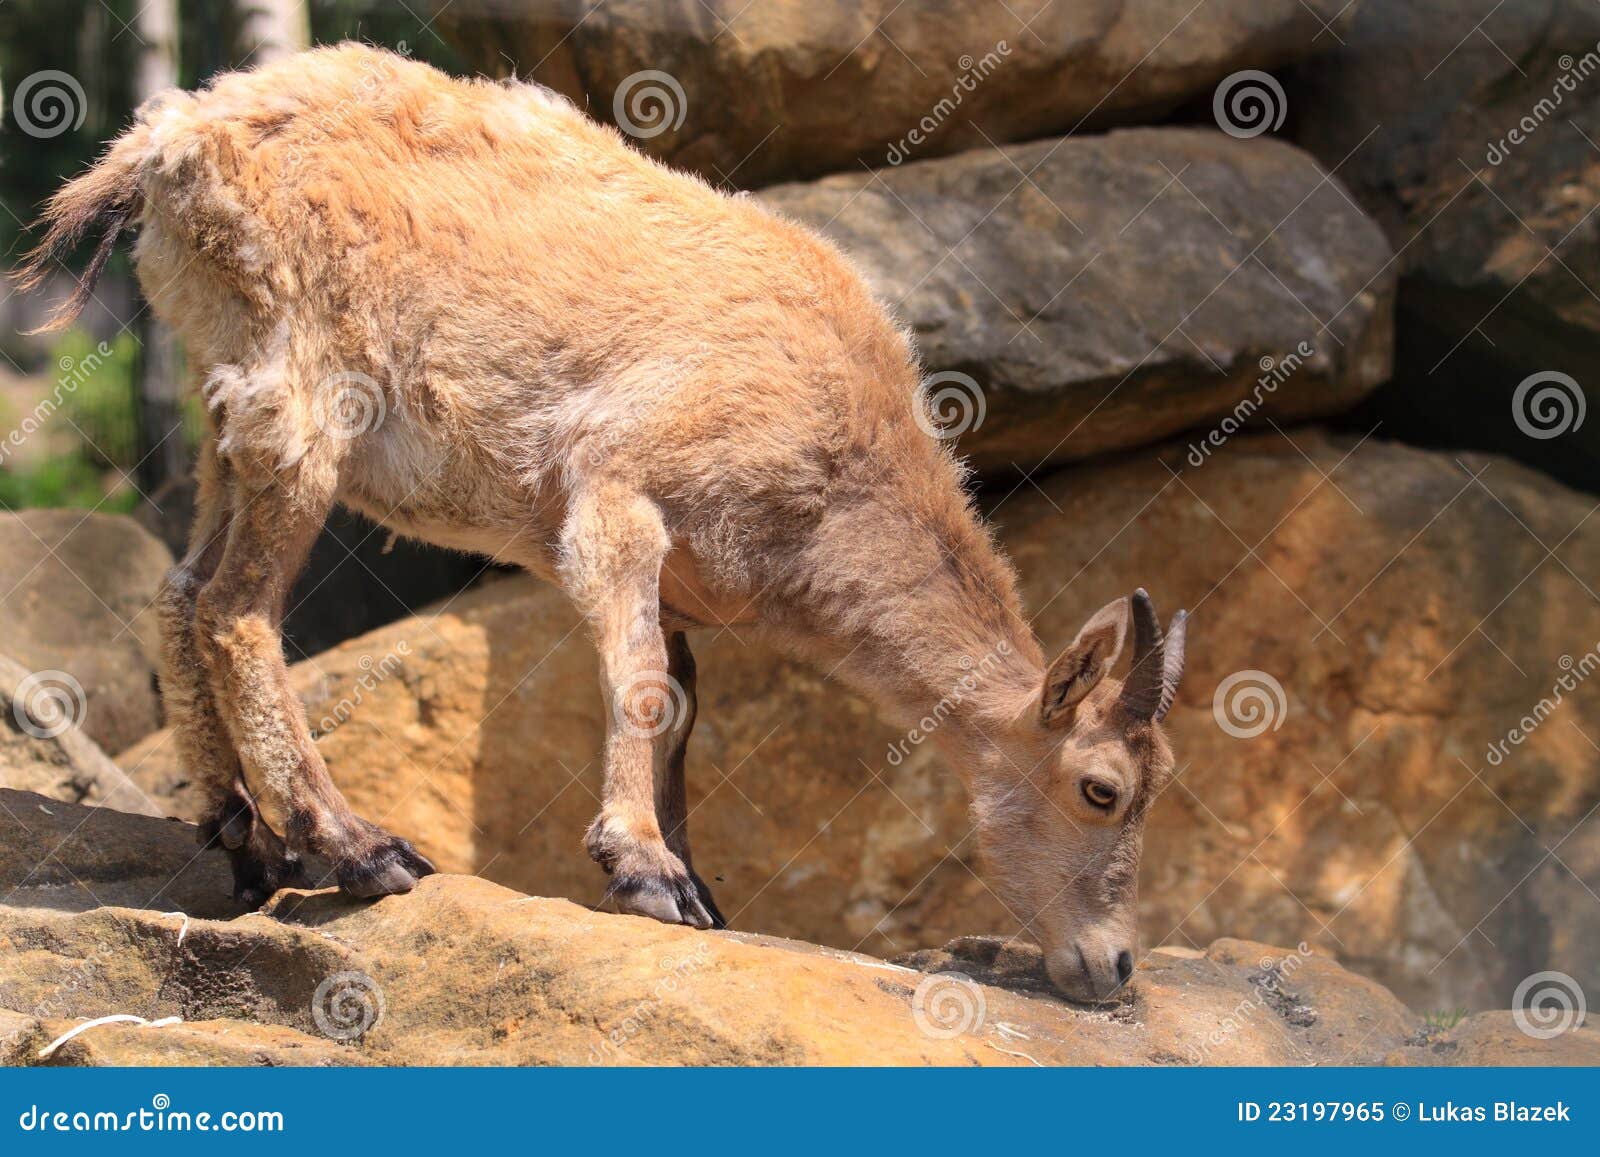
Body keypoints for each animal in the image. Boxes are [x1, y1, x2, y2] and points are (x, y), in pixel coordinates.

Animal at [18, 45, 1184, 1004]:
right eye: (1102, 787)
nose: (1115, 966)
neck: (840, 469)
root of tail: (164, 146)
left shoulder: (684, 588)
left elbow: (680, 707)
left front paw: (696, 879)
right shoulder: (621, 497)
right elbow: (638, 677)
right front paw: (644, 867)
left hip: (228, 405)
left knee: (180, 590)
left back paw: (238, 834)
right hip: (301, 393)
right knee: (234, 609)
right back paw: (352, 847)